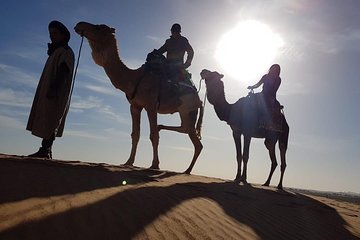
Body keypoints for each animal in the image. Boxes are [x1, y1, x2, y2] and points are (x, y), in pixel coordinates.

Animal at [74, 22, 204, 172]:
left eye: (98, 28)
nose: (79, 25)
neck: (134, 78)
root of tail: (199, 100)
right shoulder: (135, 106)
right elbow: (135, 134)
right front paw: (128, 162)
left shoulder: (151, 106)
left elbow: (153, 135)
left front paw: (155, 165)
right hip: (184, 111)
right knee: (189, 132)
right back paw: (185, 167)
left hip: (188, 109)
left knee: (191, 134)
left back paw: (186, 169)